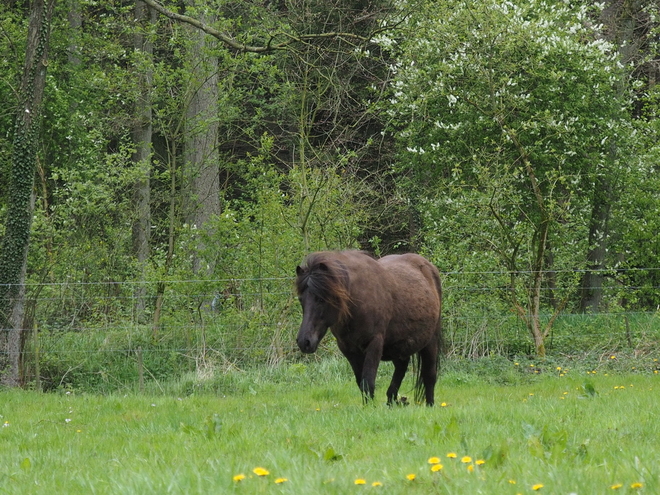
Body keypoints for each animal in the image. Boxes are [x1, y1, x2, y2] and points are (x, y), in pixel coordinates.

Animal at [296, 252, 444, 406]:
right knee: (401, 368)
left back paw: (429, 405)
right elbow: (360, 382)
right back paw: (391, 401)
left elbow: (367, 382)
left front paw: (370, 408)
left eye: (321, 299)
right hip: (399, 346)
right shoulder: (348, 349)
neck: (356, 302)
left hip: (430, 341)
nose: (304, 342)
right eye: (301, 299)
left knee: (429, 375)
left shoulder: (374, 344)